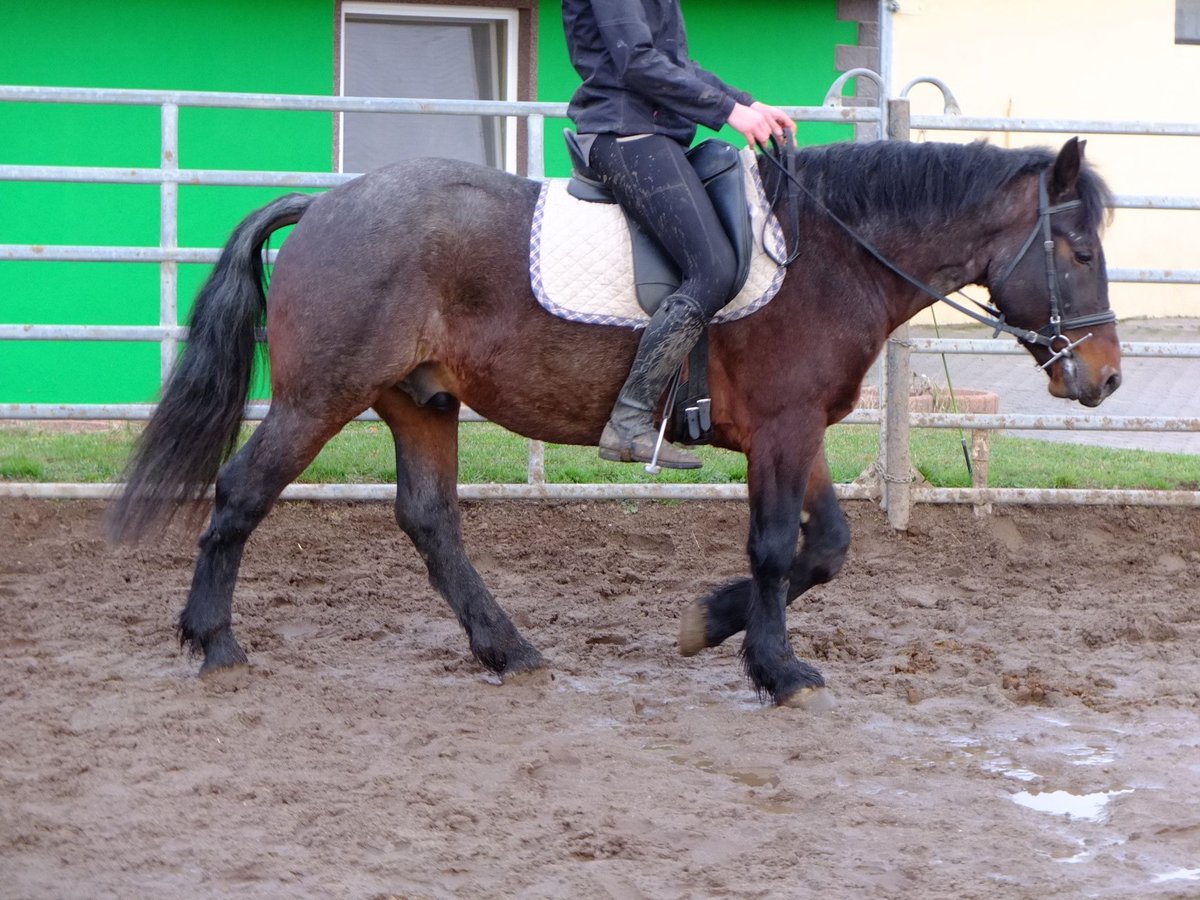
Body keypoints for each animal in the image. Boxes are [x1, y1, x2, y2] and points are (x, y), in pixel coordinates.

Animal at [105, 137, 1123, 710]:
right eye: (1075, 249)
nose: (1108, 378)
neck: (831, 254)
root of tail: (325, 203)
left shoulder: (798, 433)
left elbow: (827, 546)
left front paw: (709, 626)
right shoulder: (783, 429)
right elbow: (777, 549)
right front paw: (774, 669)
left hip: (420, 401)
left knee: (430, 522)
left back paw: (509, 650)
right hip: (321, 397)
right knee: (242, 493)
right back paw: (214, 642)